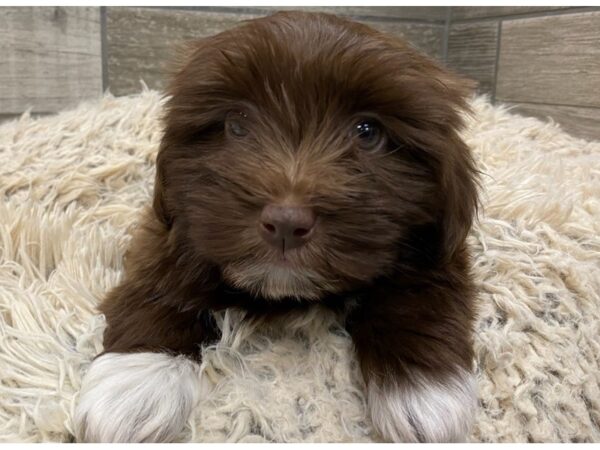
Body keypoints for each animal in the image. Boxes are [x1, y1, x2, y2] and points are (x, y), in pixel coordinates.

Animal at [74, 9, 478, 442]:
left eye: (368, 132)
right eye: (236, 124)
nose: (286, 223)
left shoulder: (437, 242)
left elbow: (418, 291)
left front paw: (424, 391)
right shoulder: (172, 225)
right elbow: (162, 280)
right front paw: (135, 382)